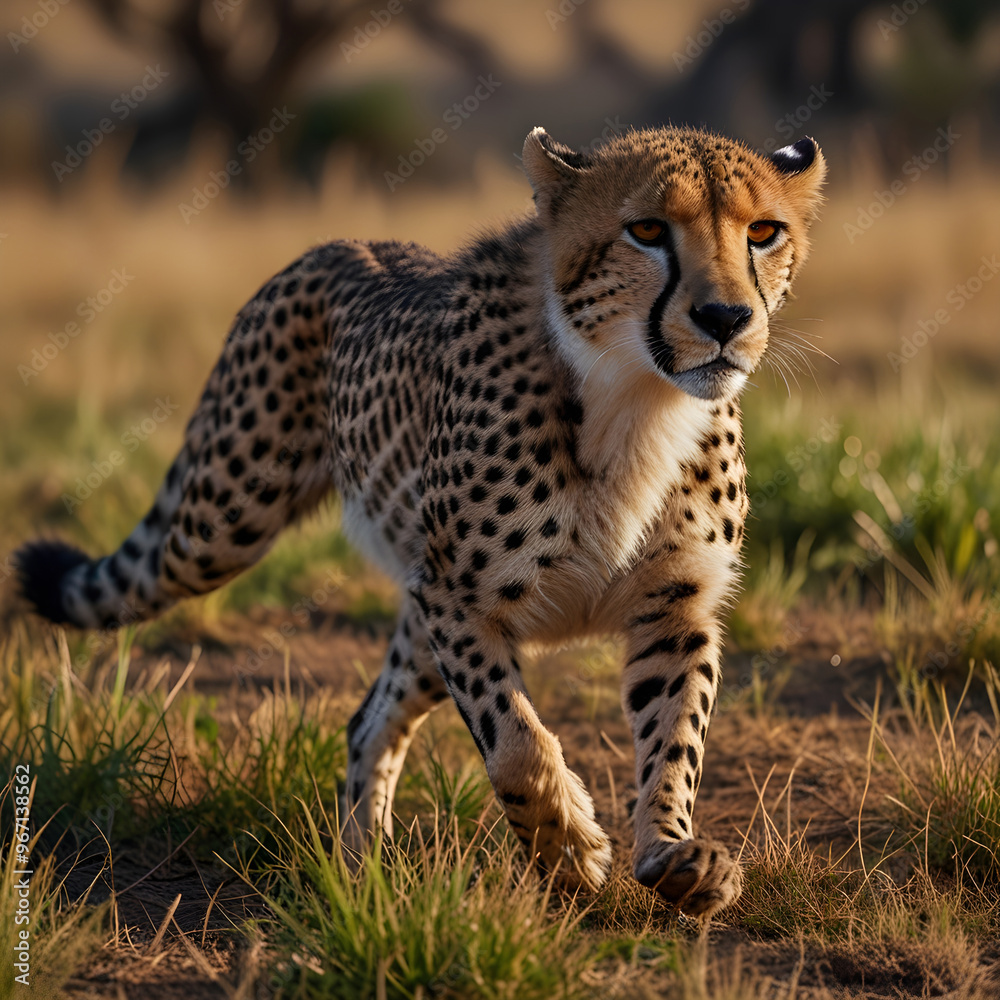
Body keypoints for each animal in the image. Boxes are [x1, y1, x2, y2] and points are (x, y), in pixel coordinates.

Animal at [14, 124, 825, 918]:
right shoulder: (458, 600)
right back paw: (362, 869)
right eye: (648, 230)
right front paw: (566, 849)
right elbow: (515, 742)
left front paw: (673, 853)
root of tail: (343, 242)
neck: (635, 397)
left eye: (763, 232)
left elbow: (674, 740)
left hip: (408, 618)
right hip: (222, 525)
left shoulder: (674, 608)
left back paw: (363, 860)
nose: (725, 319)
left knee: (370, 718)